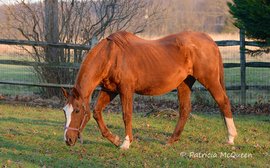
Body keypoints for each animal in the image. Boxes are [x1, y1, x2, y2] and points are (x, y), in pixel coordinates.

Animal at [61, 31, 236, 150]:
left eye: (77, 110)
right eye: (64, 111)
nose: (68, 140)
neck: (111, 56)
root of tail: (209, 40)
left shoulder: (126, 90)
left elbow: (126, 115)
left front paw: (126, 143)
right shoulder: (110, 90)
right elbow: (97, 112)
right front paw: (115, 139)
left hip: (210, 80)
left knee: (223, 102)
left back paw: (231, 138)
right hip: (184, 83)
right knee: (185, 110)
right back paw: (171, 140)